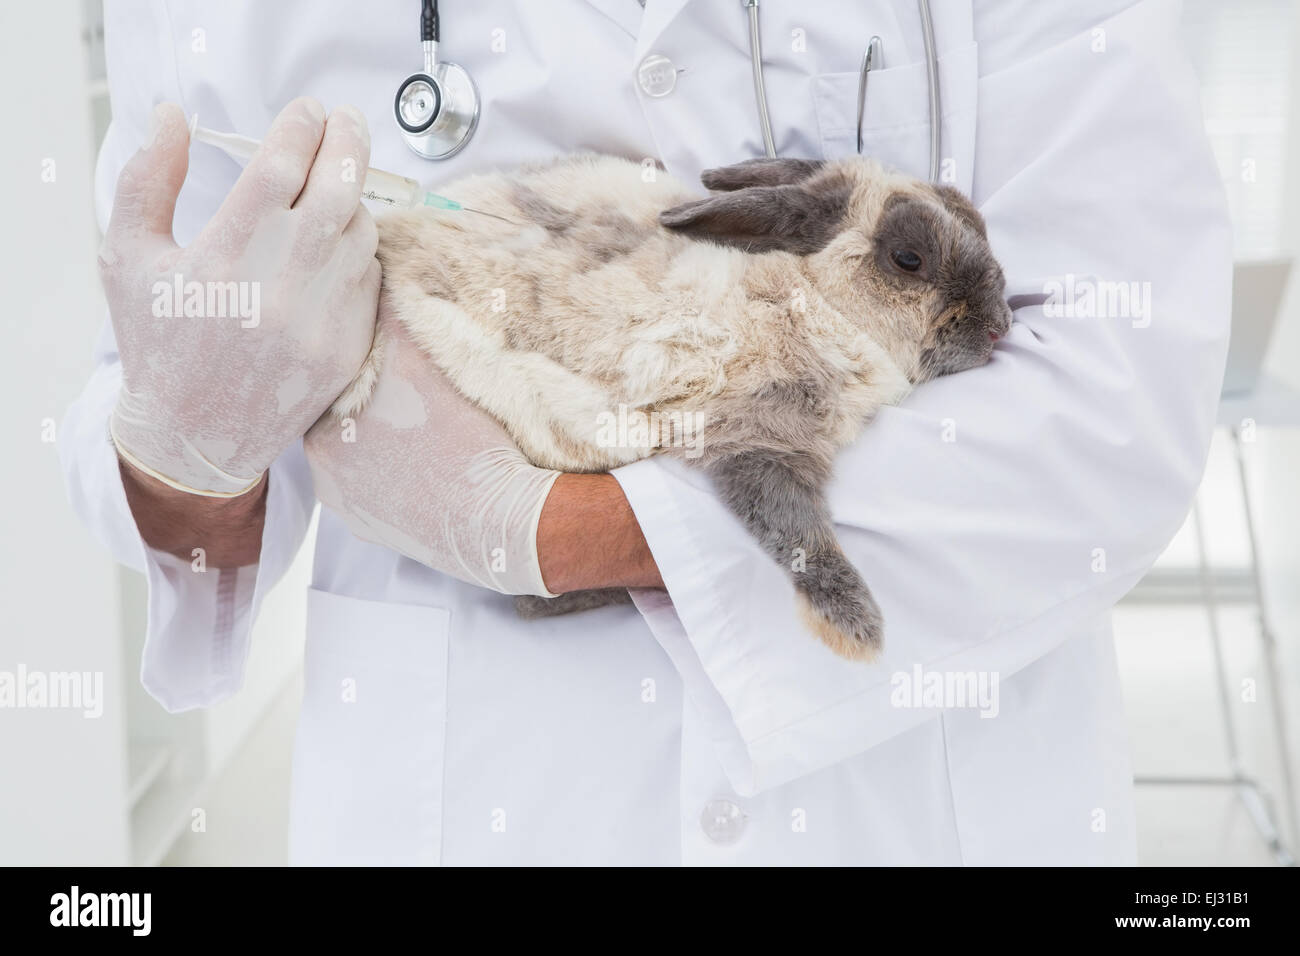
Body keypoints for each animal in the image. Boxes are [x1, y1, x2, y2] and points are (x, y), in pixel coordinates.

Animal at [330, 158, 1008, 665]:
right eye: (908, 259)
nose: (1001, 325)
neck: (812, 298)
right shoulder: (758, 442)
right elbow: (797, 533)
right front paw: (857, 629)